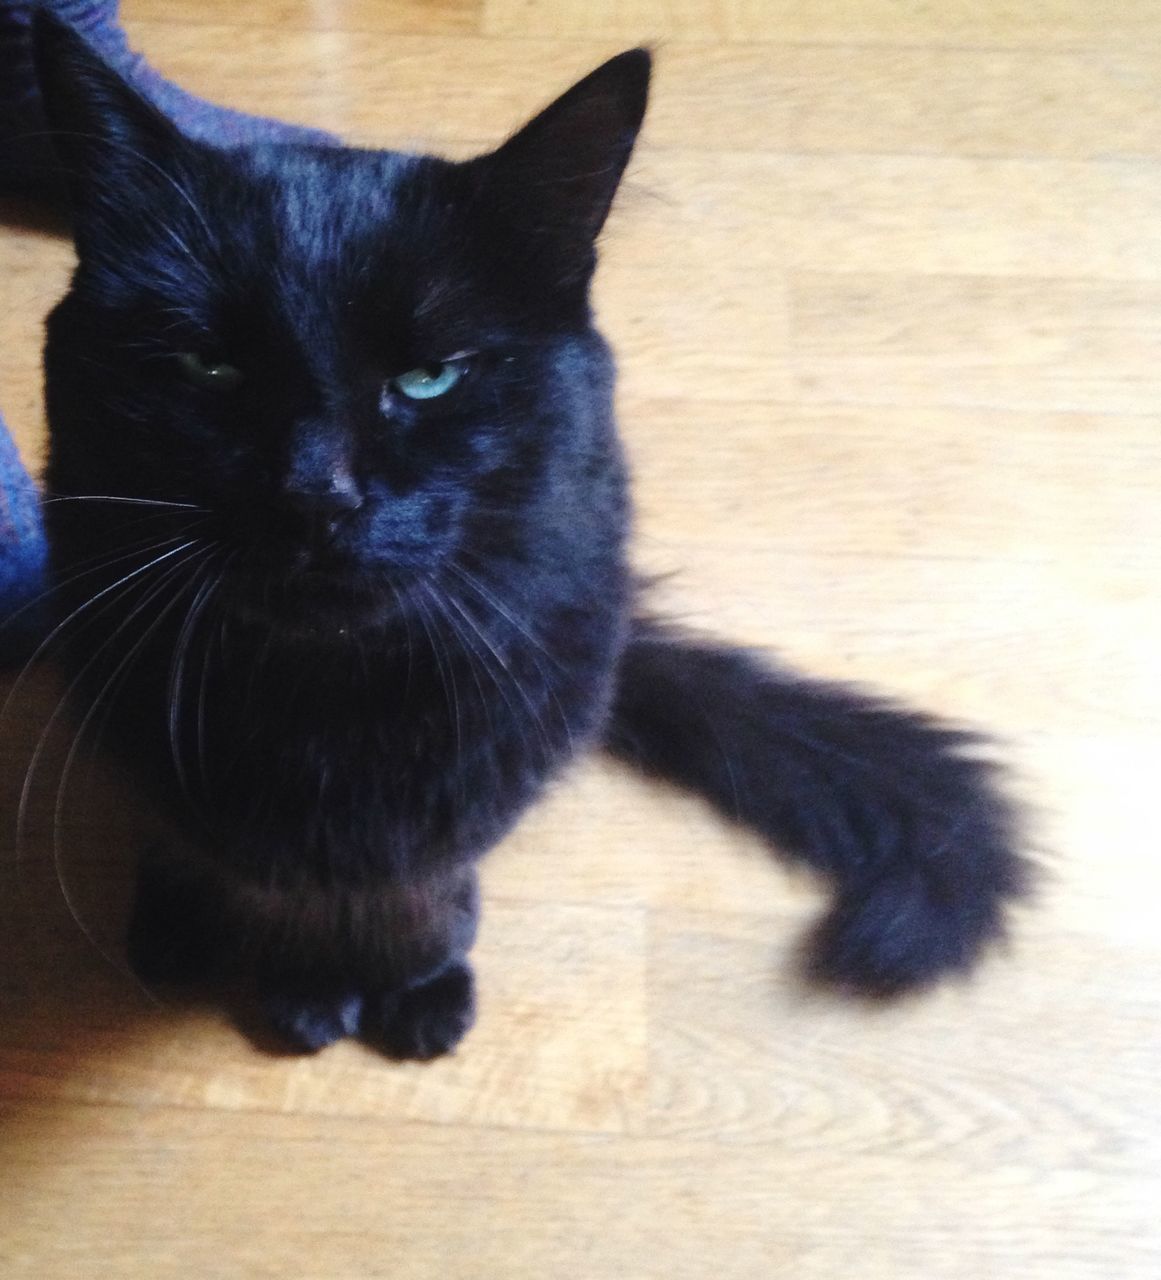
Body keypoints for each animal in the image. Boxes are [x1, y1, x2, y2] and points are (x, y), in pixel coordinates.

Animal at [29, 20, 1024, 1054]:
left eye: (429, 376)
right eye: (210, 367)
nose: (315, 494)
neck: (331, 695)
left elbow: (417, 894)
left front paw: (410, 980)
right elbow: (247, 866)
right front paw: (301, 980)